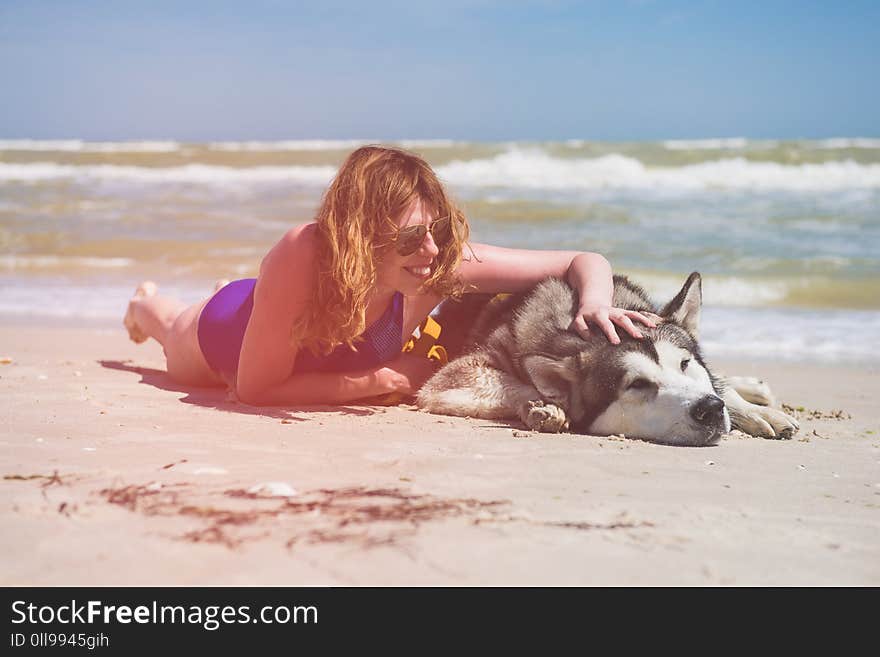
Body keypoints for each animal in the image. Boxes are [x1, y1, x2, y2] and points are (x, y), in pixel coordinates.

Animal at [418, 272, 796, 446]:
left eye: (685, 364)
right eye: (638, 385)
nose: (710, 410)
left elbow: (717, 383)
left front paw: (753, 411)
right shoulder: (454, 376)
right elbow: (522, 385)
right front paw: (547, 409)